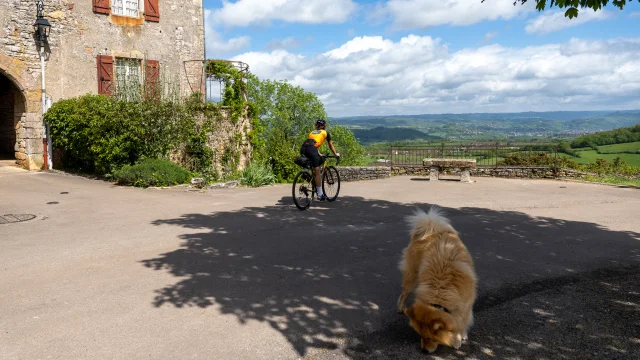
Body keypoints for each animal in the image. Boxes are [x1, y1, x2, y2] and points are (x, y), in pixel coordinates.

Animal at [398, 207, 478, 352]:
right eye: (420, 335)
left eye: (431, 338)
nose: (424, 351)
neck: (441, 290)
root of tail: (431, 229)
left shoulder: (466, 305)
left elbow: (462, 322)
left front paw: (460, 336)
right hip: (412, 276)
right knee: (404, 293)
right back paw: (401, 307)